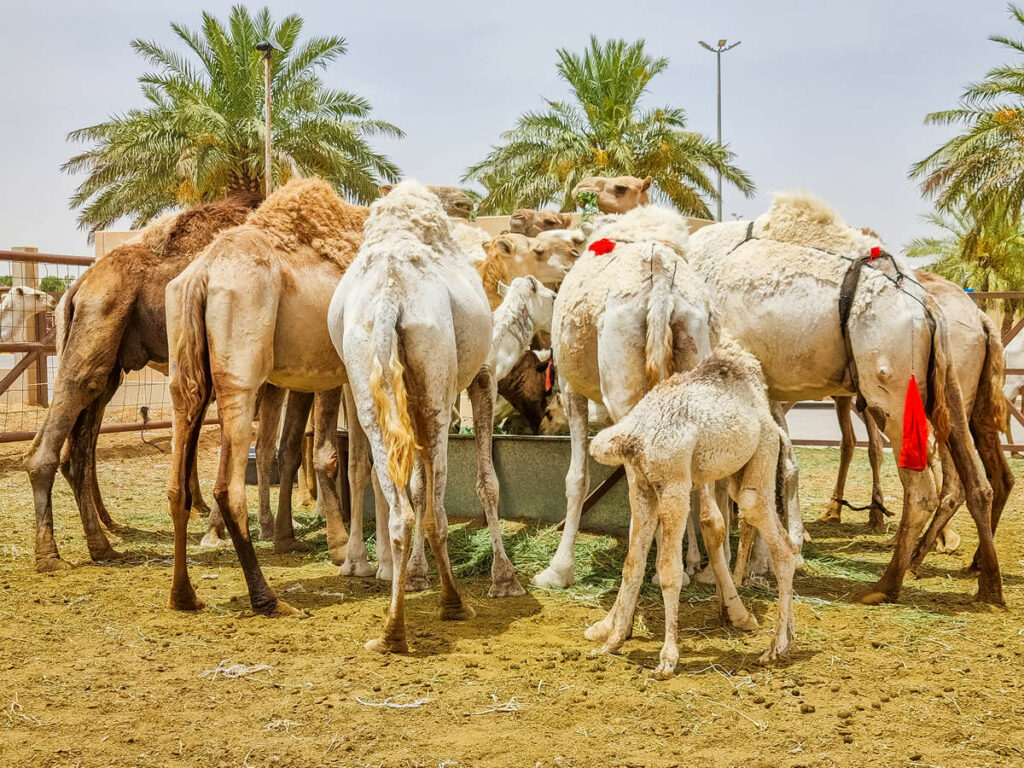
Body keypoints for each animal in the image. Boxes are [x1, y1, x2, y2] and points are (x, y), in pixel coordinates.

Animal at [24, 195, 260, 573]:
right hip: (98, 318)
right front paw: (216, 530)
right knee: (63, 425)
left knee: (79, 445)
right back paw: (51, 557)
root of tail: (78, 287)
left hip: (106, 353)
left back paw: (102, 546)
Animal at [327, 182, 499, 655]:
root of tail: (391, 296)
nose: (467, 201)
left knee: (398, 506)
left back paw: (391, 631)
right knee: (435, 508)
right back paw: (454, 603)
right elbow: (477, 481)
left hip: (366, 376)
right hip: (434, 382)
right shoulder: (480, 374)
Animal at [585, 344, 798, 679]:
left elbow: (669, 571)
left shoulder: (674, 483)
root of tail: (773, 425)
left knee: (778, 540)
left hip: (761, 458)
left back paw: (774, 648)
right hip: (739, 472)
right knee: (782, 543)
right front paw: (612, 642)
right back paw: (787, 638)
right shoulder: (642, 488)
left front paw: (668, 658)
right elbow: (632, 564)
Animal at [688, 193, 1007, 606]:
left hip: (892, 391)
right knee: (978, 482)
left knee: (923, 491)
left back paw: (887, 584)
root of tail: (929, 307)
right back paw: (987, 584)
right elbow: (778, 468)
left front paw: (720, 571)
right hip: (950, 392)